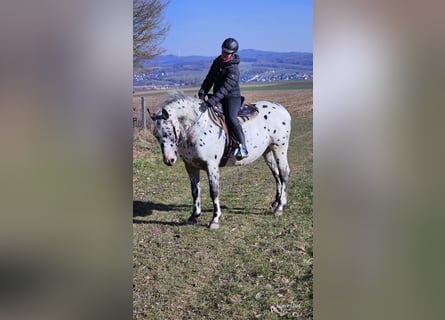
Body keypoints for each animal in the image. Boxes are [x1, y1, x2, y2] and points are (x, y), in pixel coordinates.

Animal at [151, 91, 292, 229]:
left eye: (169, 132)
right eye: (156, 135)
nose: (169, 160)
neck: (198, 127)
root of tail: (282, 109)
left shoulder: (211, 165)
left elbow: (214, 191)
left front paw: (215, 219)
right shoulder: (191, 166)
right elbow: (195, 191)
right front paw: (194, 216)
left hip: (280, 148)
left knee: (283, 173)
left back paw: (280, 207)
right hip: (268, 152)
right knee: (276, 174)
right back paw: (276, 202)